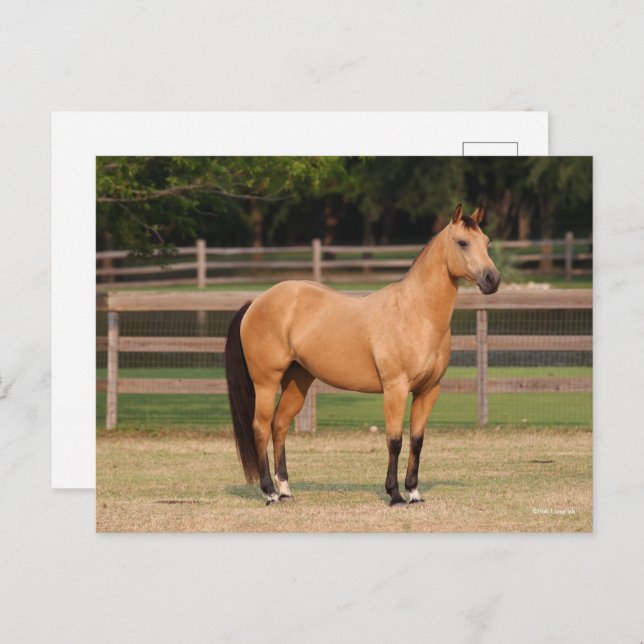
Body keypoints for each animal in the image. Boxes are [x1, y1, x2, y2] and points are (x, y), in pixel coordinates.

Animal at [224, 204, 501, 506]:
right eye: (462, 242)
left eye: (486, 241)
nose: (492, 279)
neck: (415, 313)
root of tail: (257, 302)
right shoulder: (395, 388)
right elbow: (395, 440)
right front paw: (395, 495)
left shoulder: (428, 390)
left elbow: (417, 440)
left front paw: (414, 492)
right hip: (266, 382)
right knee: (261, 428)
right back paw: (270, 493)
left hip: (298, 382)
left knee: (279, 425)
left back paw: (285, 489)